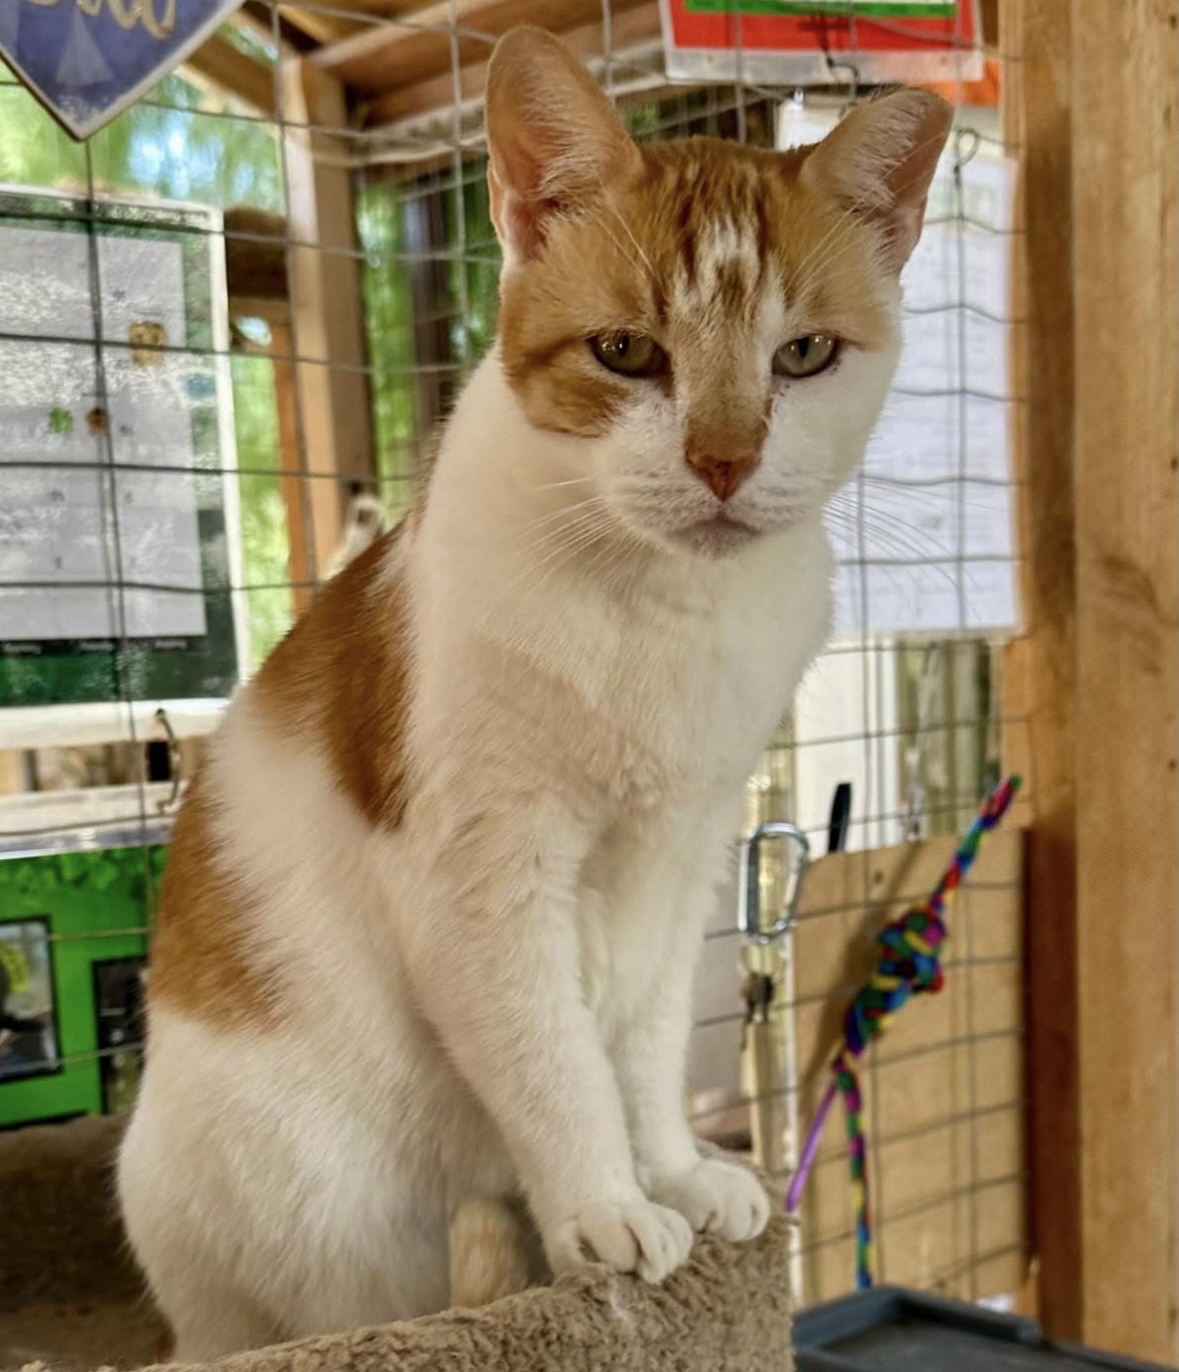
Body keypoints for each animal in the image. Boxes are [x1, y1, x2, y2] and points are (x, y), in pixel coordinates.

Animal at [116, 26, 950, 1359]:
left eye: (804, 354)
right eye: (626, 352)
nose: (724, 458)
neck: (663, 608)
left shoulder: (681, 860)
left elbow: (644, 1046)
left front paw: (673, 1171)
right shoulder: (485, 884)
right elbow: (555, 1062)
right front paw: (605, 1208)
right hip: (305, 1202)